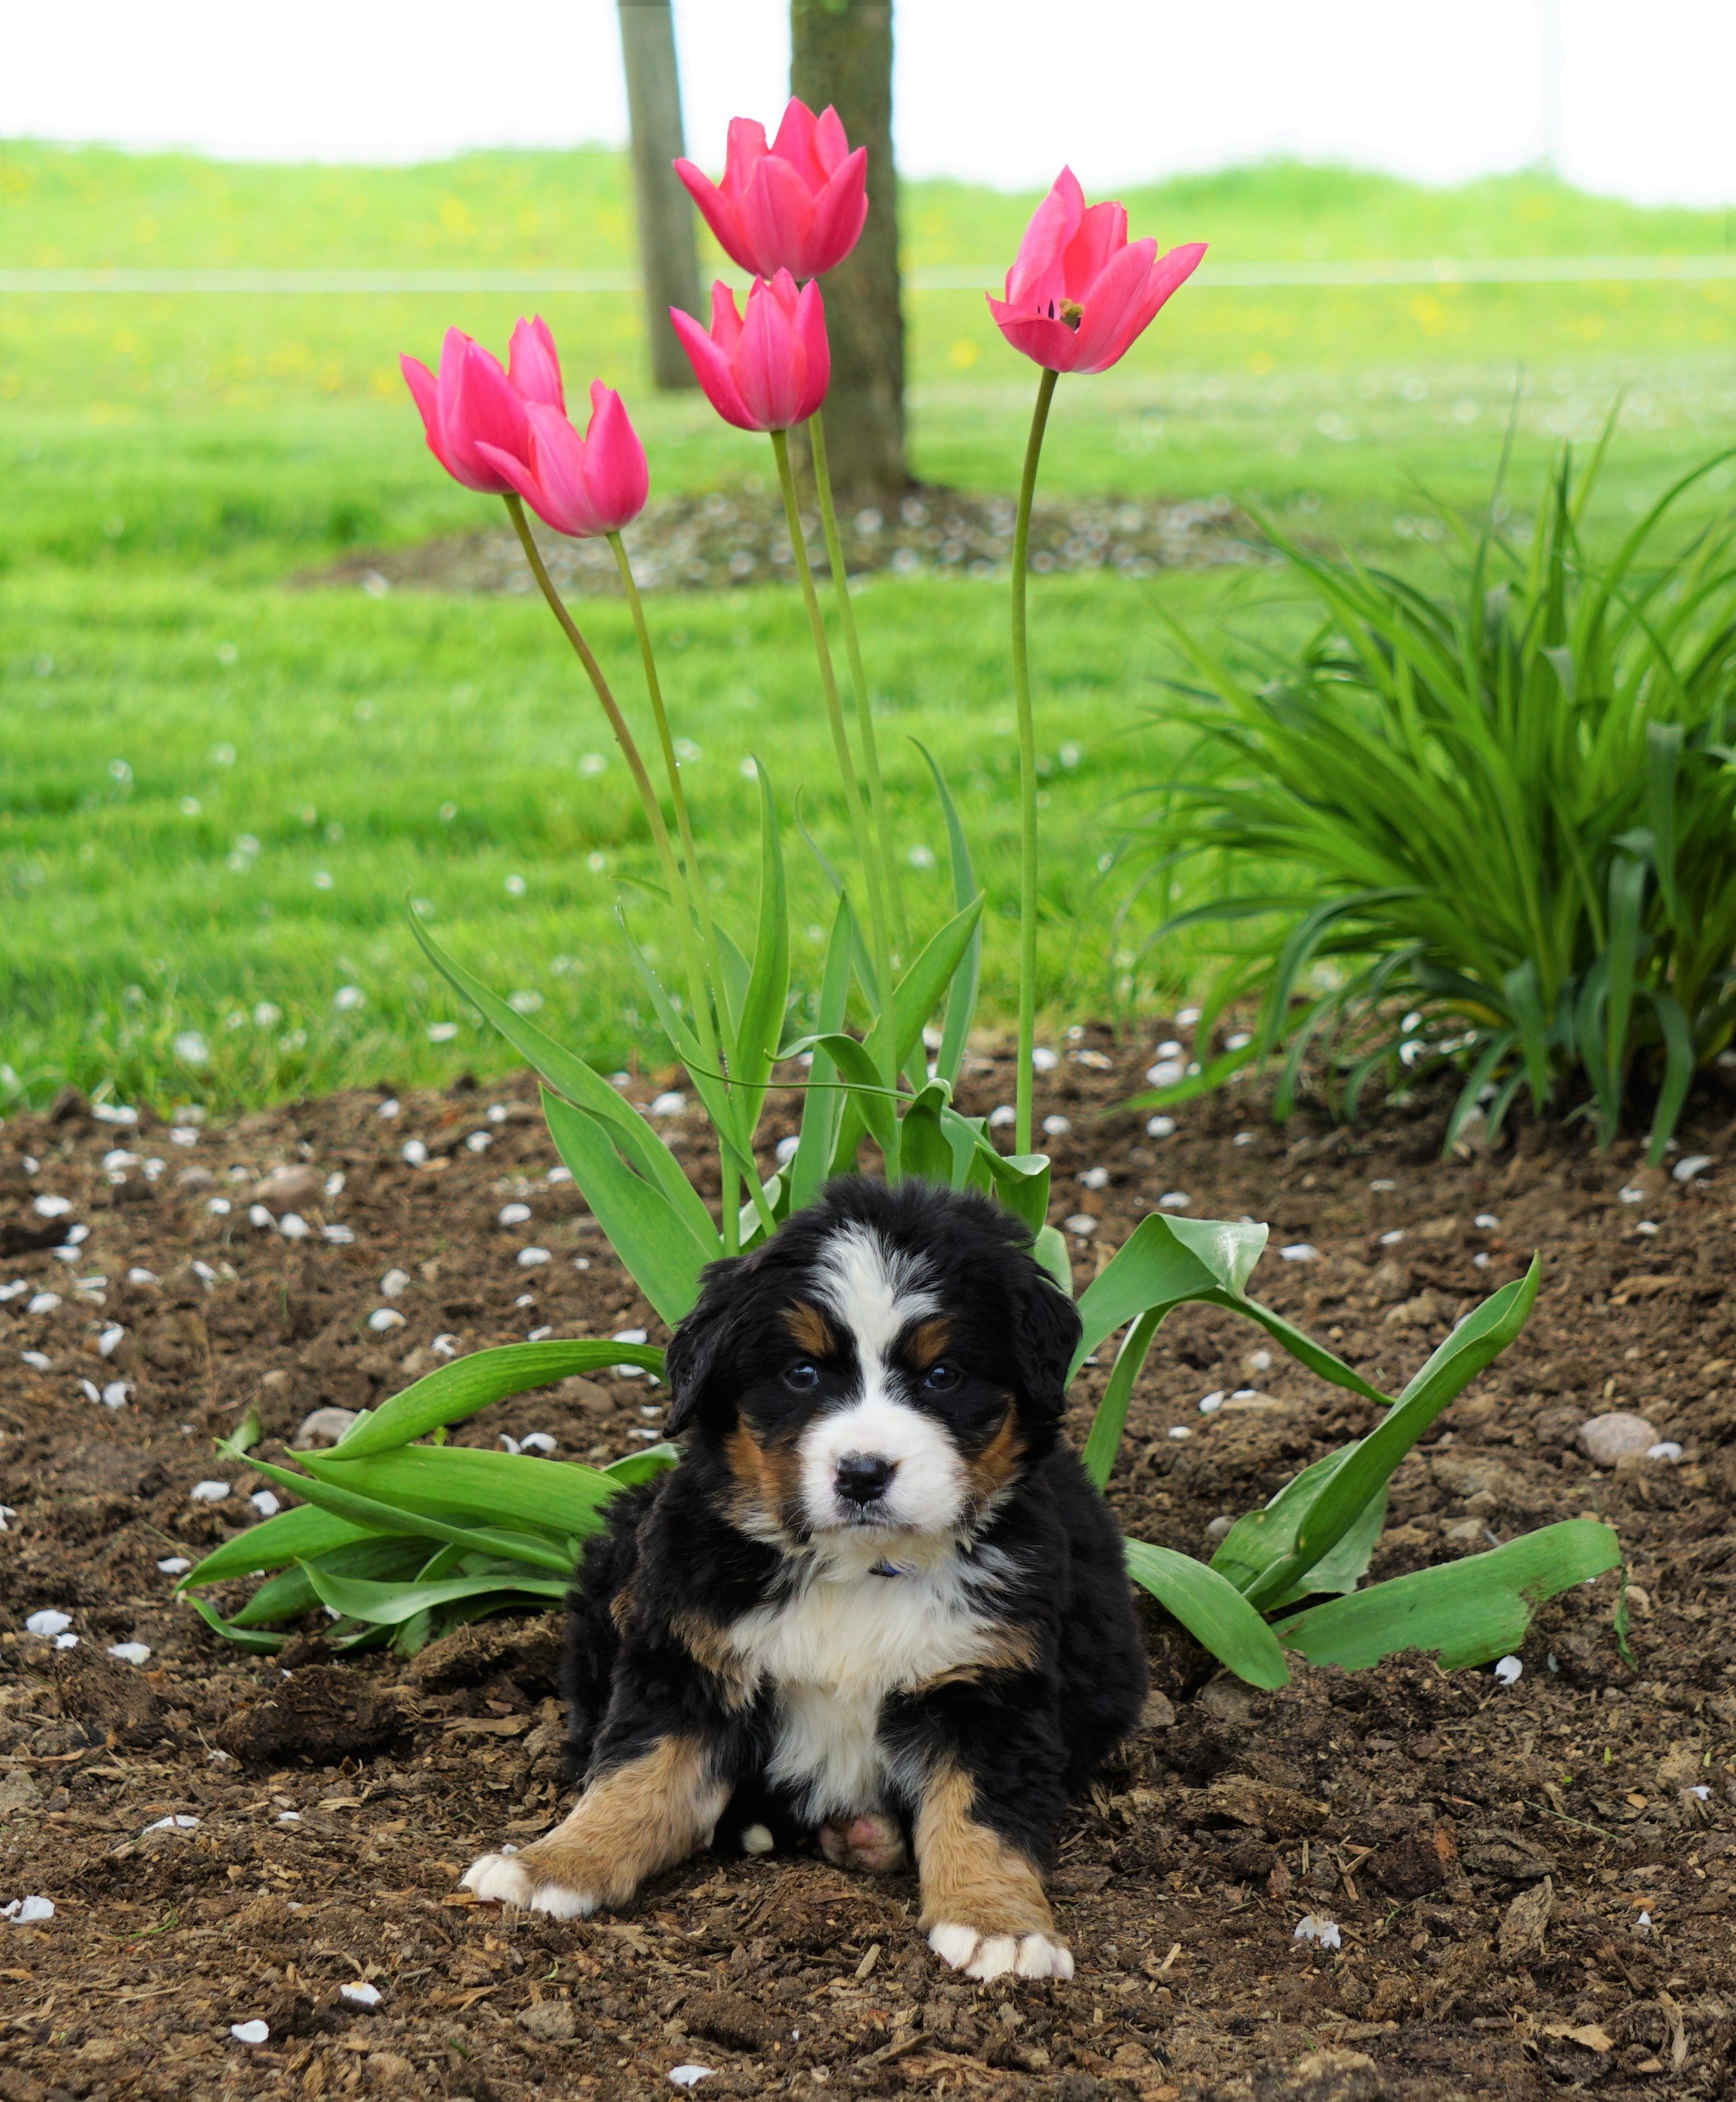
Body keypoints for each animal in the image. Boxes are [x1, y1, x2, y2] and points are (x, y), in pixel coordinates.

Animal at [456, 1176, 1152, 1976]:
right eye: (803, 1373)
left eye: (943, 1376)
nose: (863, 1472)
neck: (857, 1571)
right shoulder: (689, 1656)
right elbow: (634, 1775)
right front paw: (552, 1865)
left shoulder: (989, 1681)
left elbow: (982, 1810)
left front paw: (996, 1924)